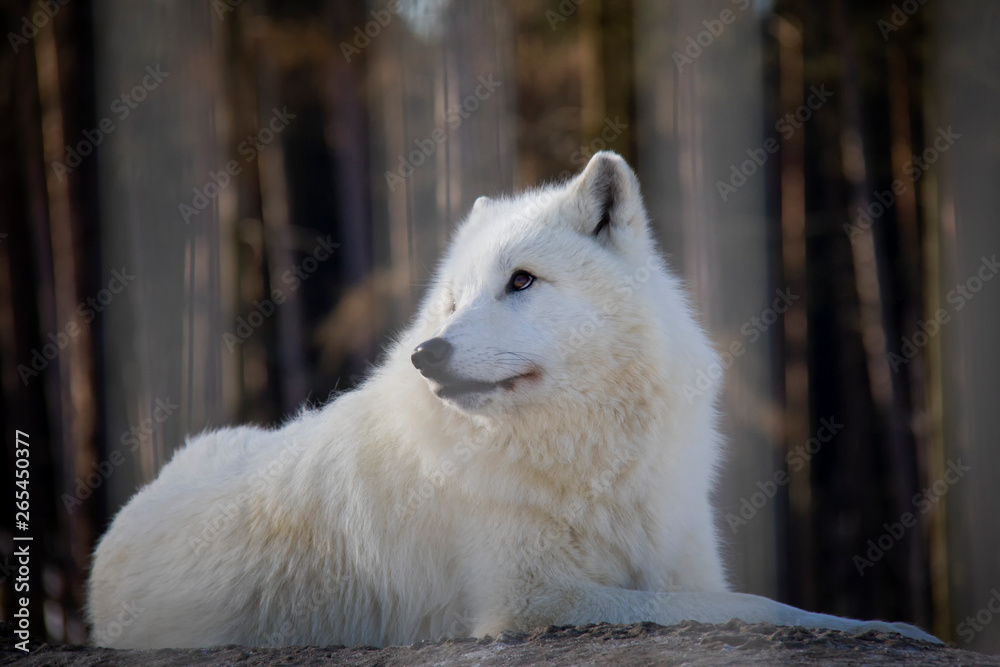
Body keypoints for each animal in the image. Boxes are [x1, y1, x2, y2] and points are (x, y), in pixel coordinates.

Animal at [87, 151, 939, 648]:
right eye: (453, 300)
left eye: (522, 281)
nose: (428, 352)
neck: (589, 458)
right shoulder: (526, 601)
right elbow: (766, 608)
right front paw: (888, 624)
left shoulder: (680, 561)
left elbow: (752, 599)